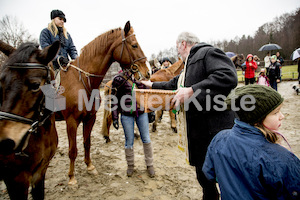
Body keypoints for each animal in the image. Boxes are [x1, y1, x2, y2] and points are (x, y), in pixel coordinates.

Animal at [54, 20, 150, 184]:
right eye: (134, 45)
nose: (147, 72)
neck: (81, 81)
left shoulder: (90, 118)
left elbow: (87, 143)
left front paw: (90, 167)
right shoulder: (71, 121)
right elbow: (73, 150)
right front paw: (72, 178)